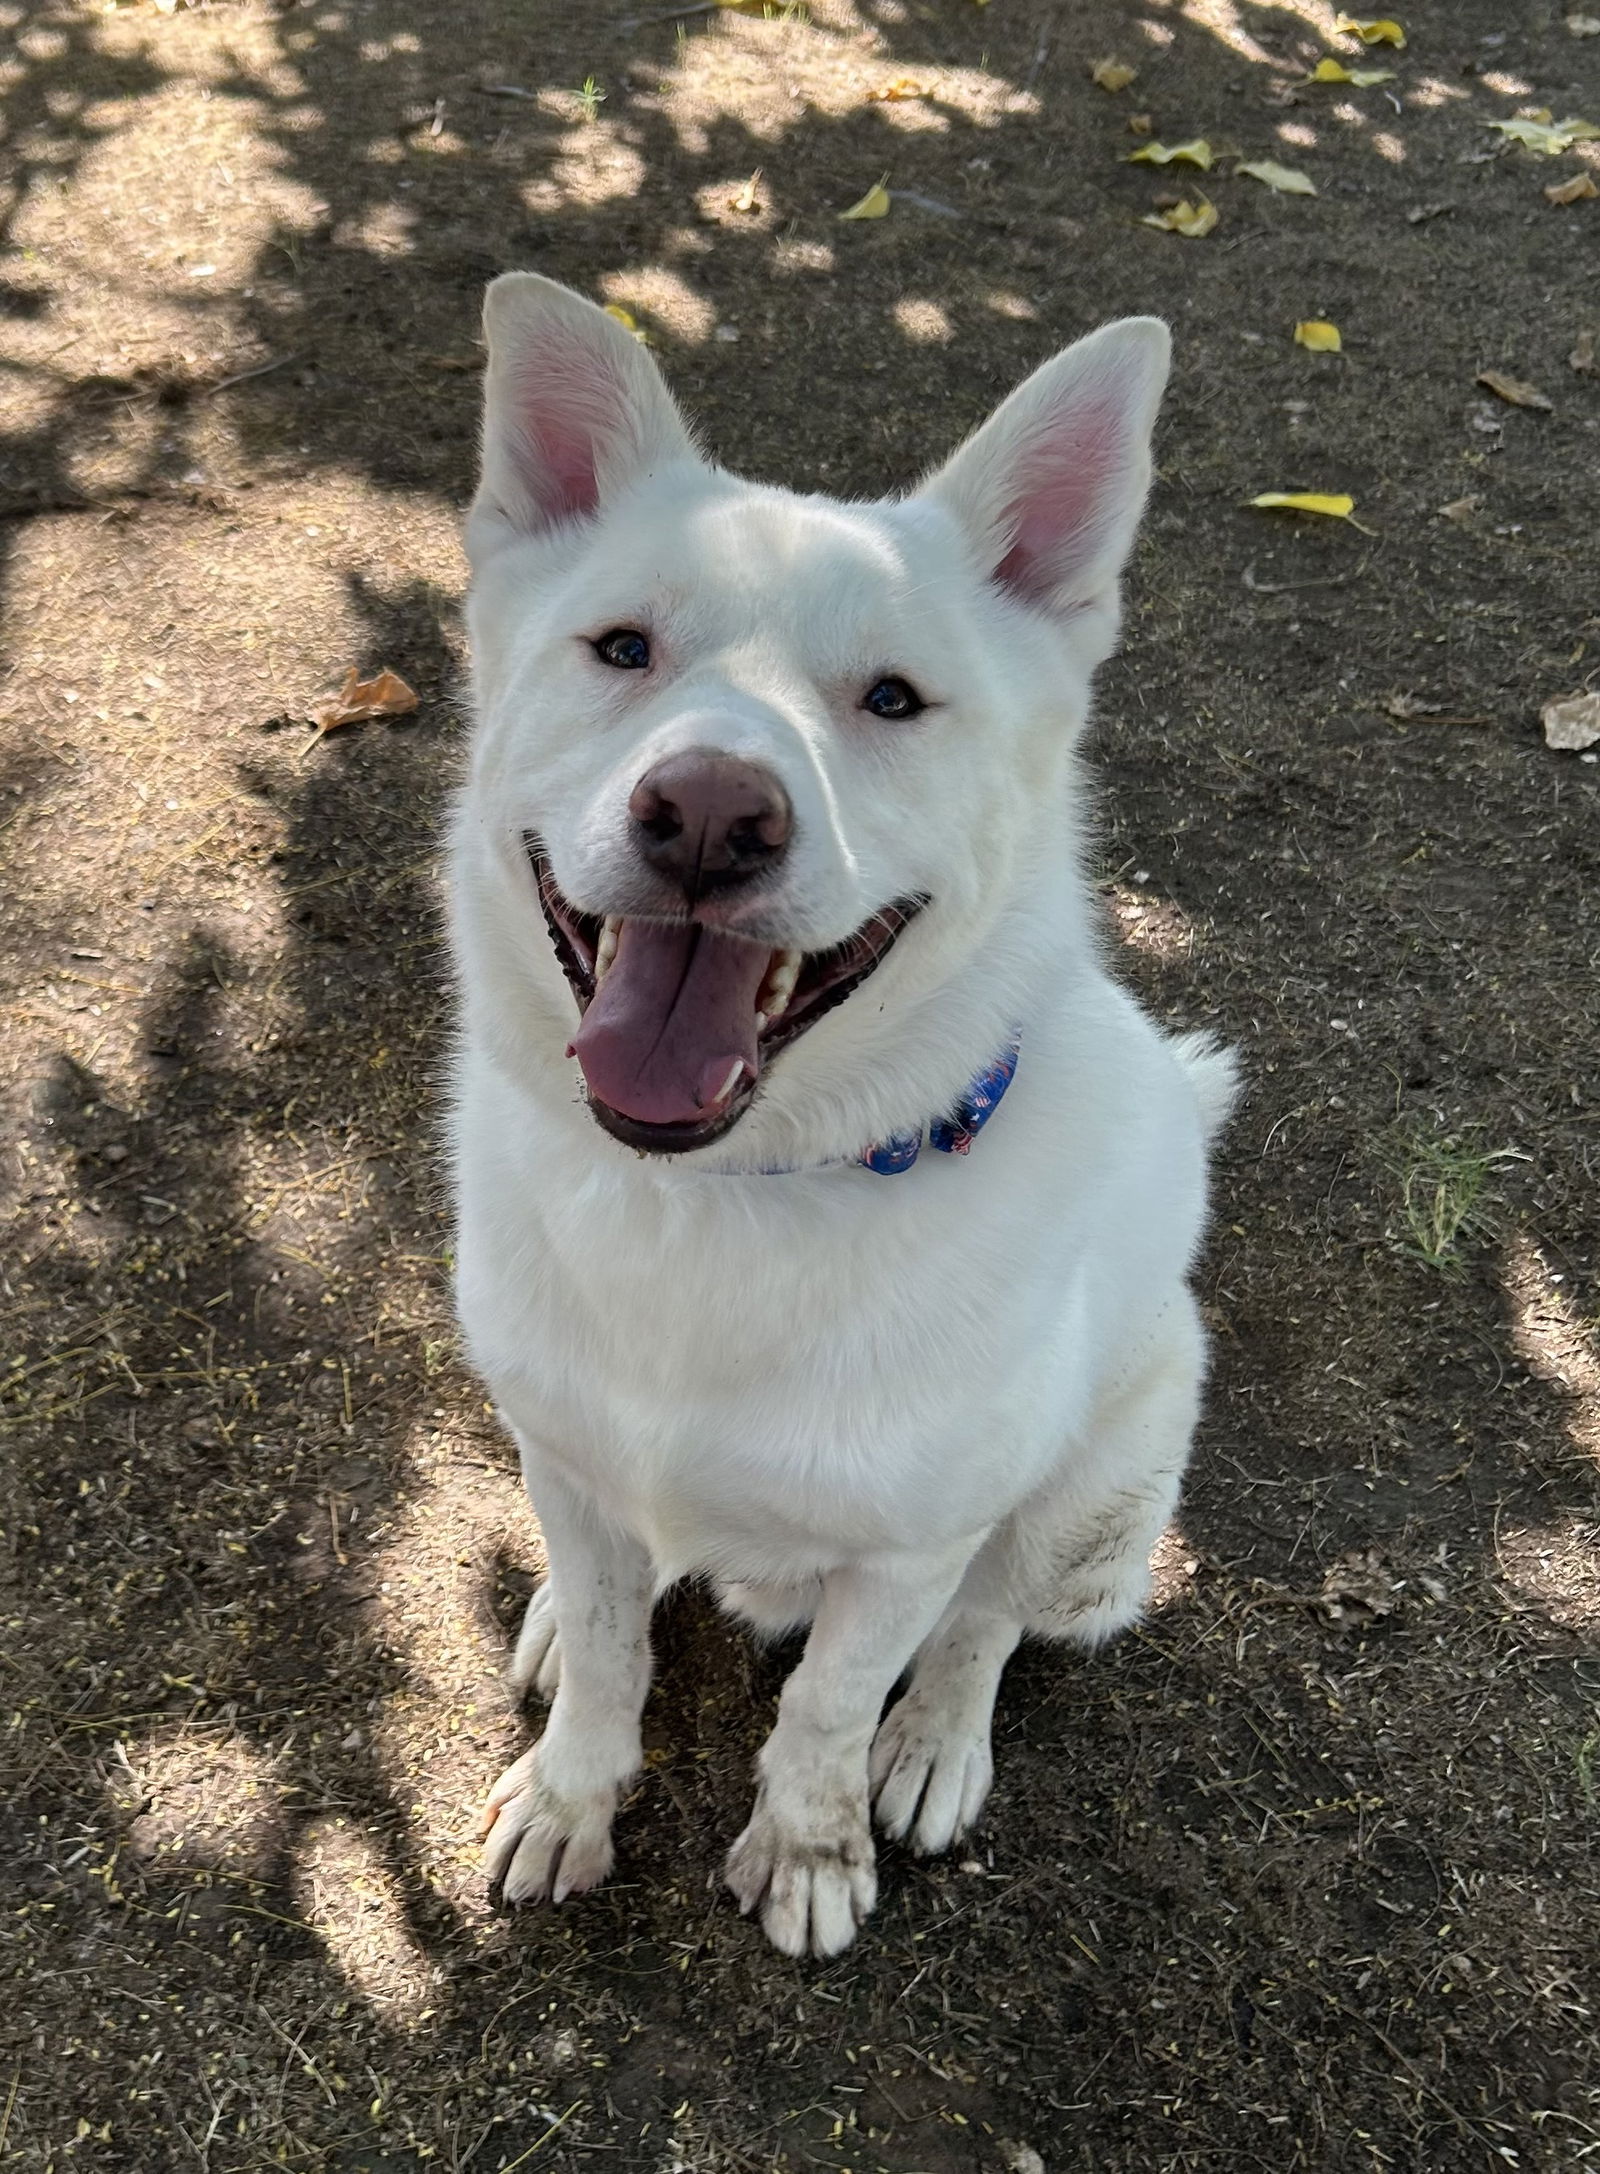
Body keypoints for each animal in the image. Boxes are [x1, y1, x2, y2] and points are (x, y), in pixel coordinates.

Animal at [450, 271, 1234, 1956]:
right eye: (622, 646)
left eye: (892, 699)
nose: (709, 815)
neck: (721, 1198)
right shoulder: (570, 1461)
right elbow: (607, 1647)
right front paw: (571, 1791)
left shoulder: (910, 1548)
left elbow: (829, 1704)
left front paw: (809, 1848)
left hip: (1099, 1463)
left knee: (992, 1621)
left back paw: (934, 1744)